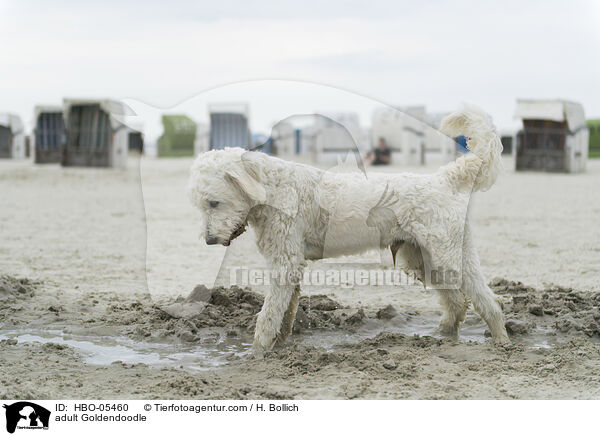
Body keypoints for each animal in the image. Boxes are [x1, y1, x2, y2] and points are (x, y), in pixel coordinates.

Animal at [189, 104, 510, 354]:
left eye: (214, 202)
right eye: (201, 206)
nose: (209, 240)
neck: (273, 188)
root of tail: (444, 178)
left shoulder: (284, 262)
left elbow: (267, 317)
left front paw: (255, 354)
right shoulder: (292, 264)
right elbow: (286, 312)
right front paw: (280, 346)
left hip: (447, 257)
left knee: (484, 301)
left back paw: (502, 343)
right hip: (427, 259)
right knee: (459, 301)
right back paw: (445, 336)